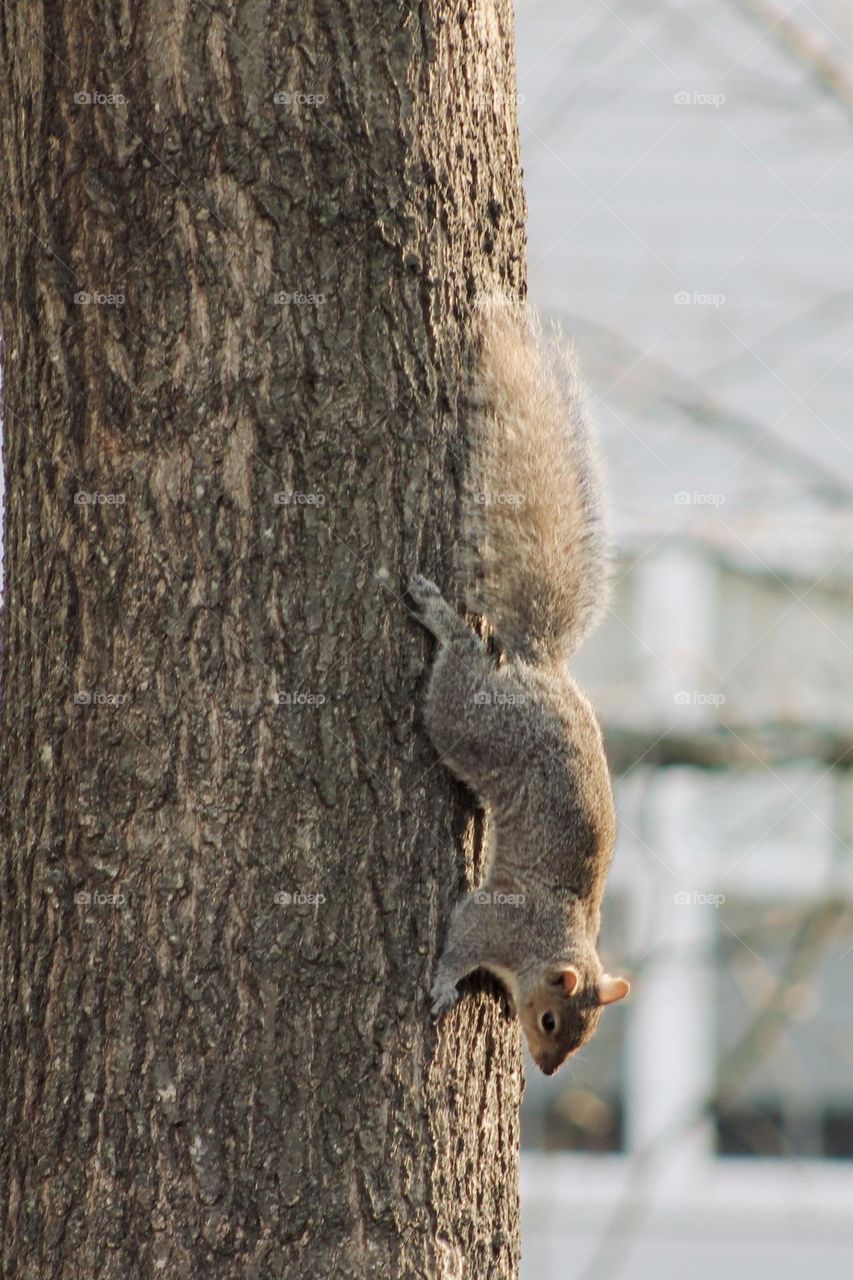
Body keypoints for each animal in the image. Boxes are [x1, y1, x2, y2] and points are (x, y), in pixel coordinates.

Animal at [408, 297, 630, 1076]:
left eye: (584, 1034)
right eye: (550, 1019)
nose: (548, 1069)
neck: (553, 940)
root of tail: (540, 668)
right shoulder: (495, 922)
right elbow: (459, 939)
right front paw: (443, 986)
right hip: (472, 720)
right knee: (452, 684)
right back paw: (445, 621)